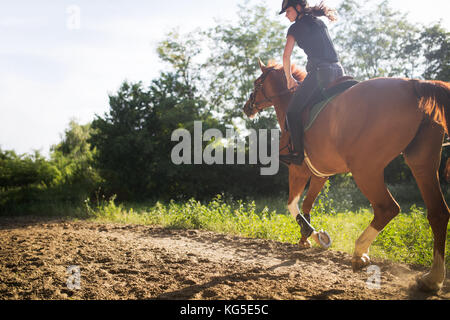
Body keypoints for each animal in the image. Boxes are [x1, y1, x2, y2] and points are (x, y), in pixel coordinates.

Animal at [244, 60, 448, 292]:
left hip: (365, 168)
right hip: (421, 162)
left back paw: (359, 254)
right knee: (438, 213)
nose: (246, 107)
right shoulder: (320, 174)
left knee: (387, 208)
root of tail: (414, 85)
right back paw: (432, 278)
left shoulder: (298, 169)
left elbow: (292, 204)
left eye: (257, 83)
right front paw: (306, 237)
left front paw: (314, 234)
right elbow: (307, 204)